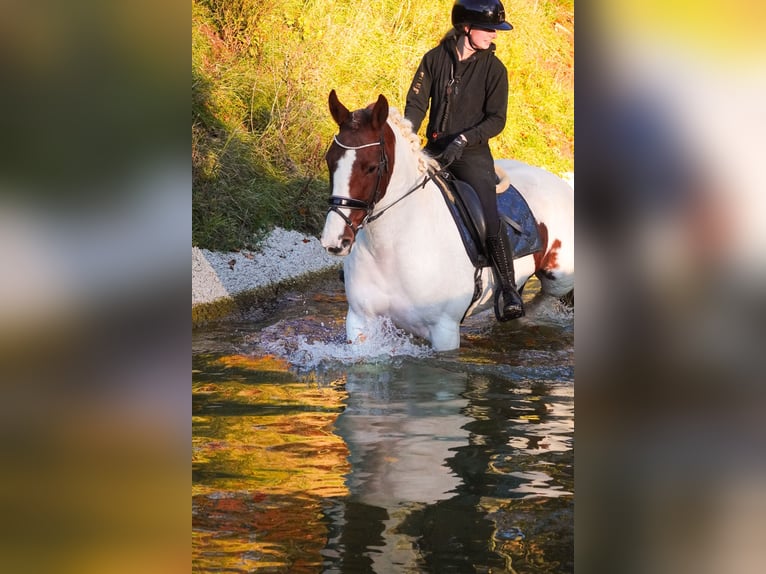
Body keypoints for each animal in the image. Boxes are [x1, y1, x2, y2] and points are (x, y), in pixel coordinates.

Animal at [320, 90, 573, 351]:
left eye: (370, 167)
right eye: (330, 160)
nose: (335, 241)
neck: (391, 248)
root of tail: (559, 181)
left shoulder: (444, 332)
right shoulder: (361, 322)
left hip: (560, 278)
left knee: (546, 297)